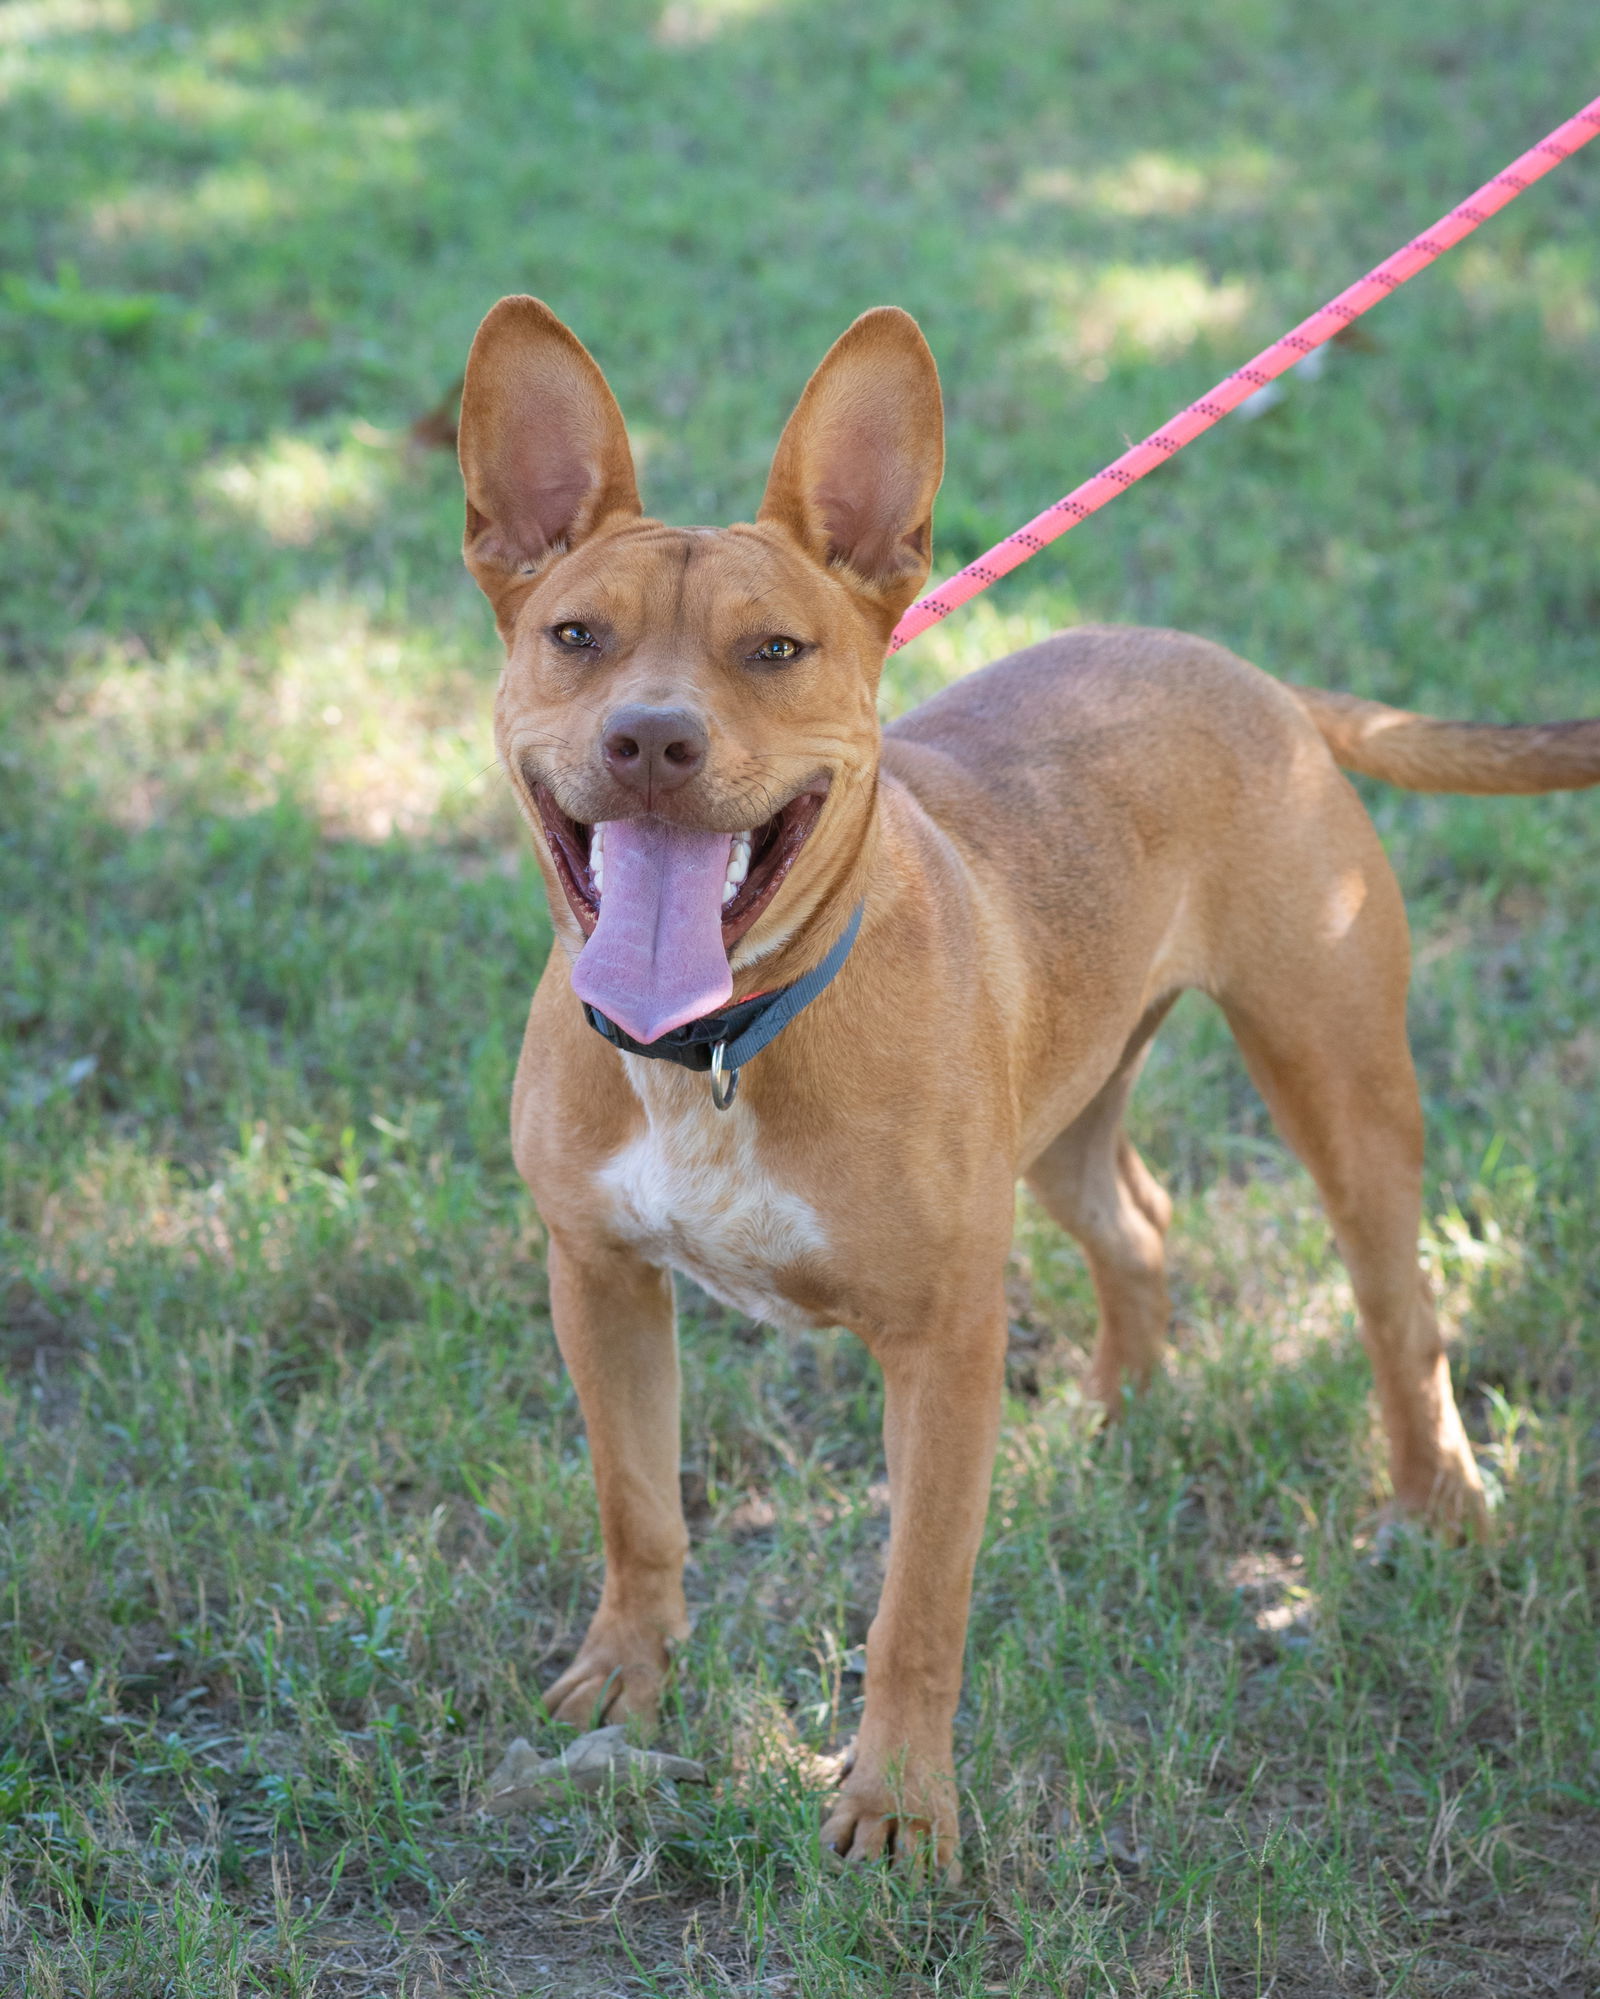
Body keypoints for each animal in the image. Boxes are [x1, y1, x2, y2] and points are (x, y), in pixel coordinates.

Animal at [456, 291, 1600, 1871]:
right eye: (576, 635)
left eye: (776, 649)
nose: (651, 737)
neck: (721, 1048)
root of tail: (1253, 677)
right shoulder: (601, 1280)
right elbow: (639, 1507)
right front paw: (630, 1675)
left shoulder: (941, 1345)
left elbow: (916, 1601)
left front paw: (896, 1801)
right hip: (1063, 1113)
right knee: (1142, 1221)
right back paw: (1118, 1409)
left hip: (1340, 1085)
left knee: (1400, 1312)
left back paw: (1442, 1506)